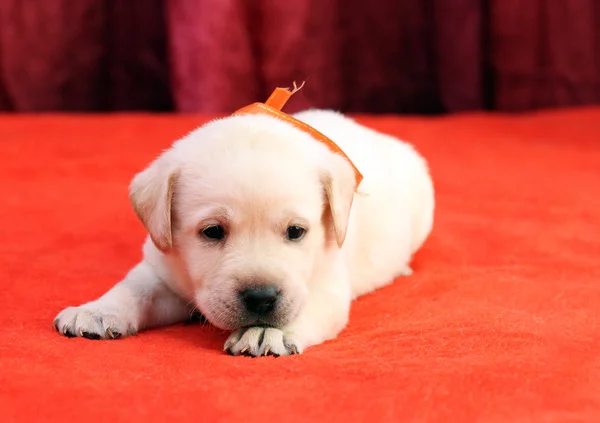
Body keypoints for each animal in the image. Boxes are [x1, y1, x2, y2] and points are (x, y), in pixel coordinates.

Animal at [54, 107, 434, 358]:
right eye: (212, 231)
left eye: (296, 231)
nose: (261, 298)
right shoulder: (161, 268)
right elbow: (134, 288)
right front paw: (97, 310)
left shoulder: (327, 282)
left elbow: (307, 304)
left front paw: (267, 331)